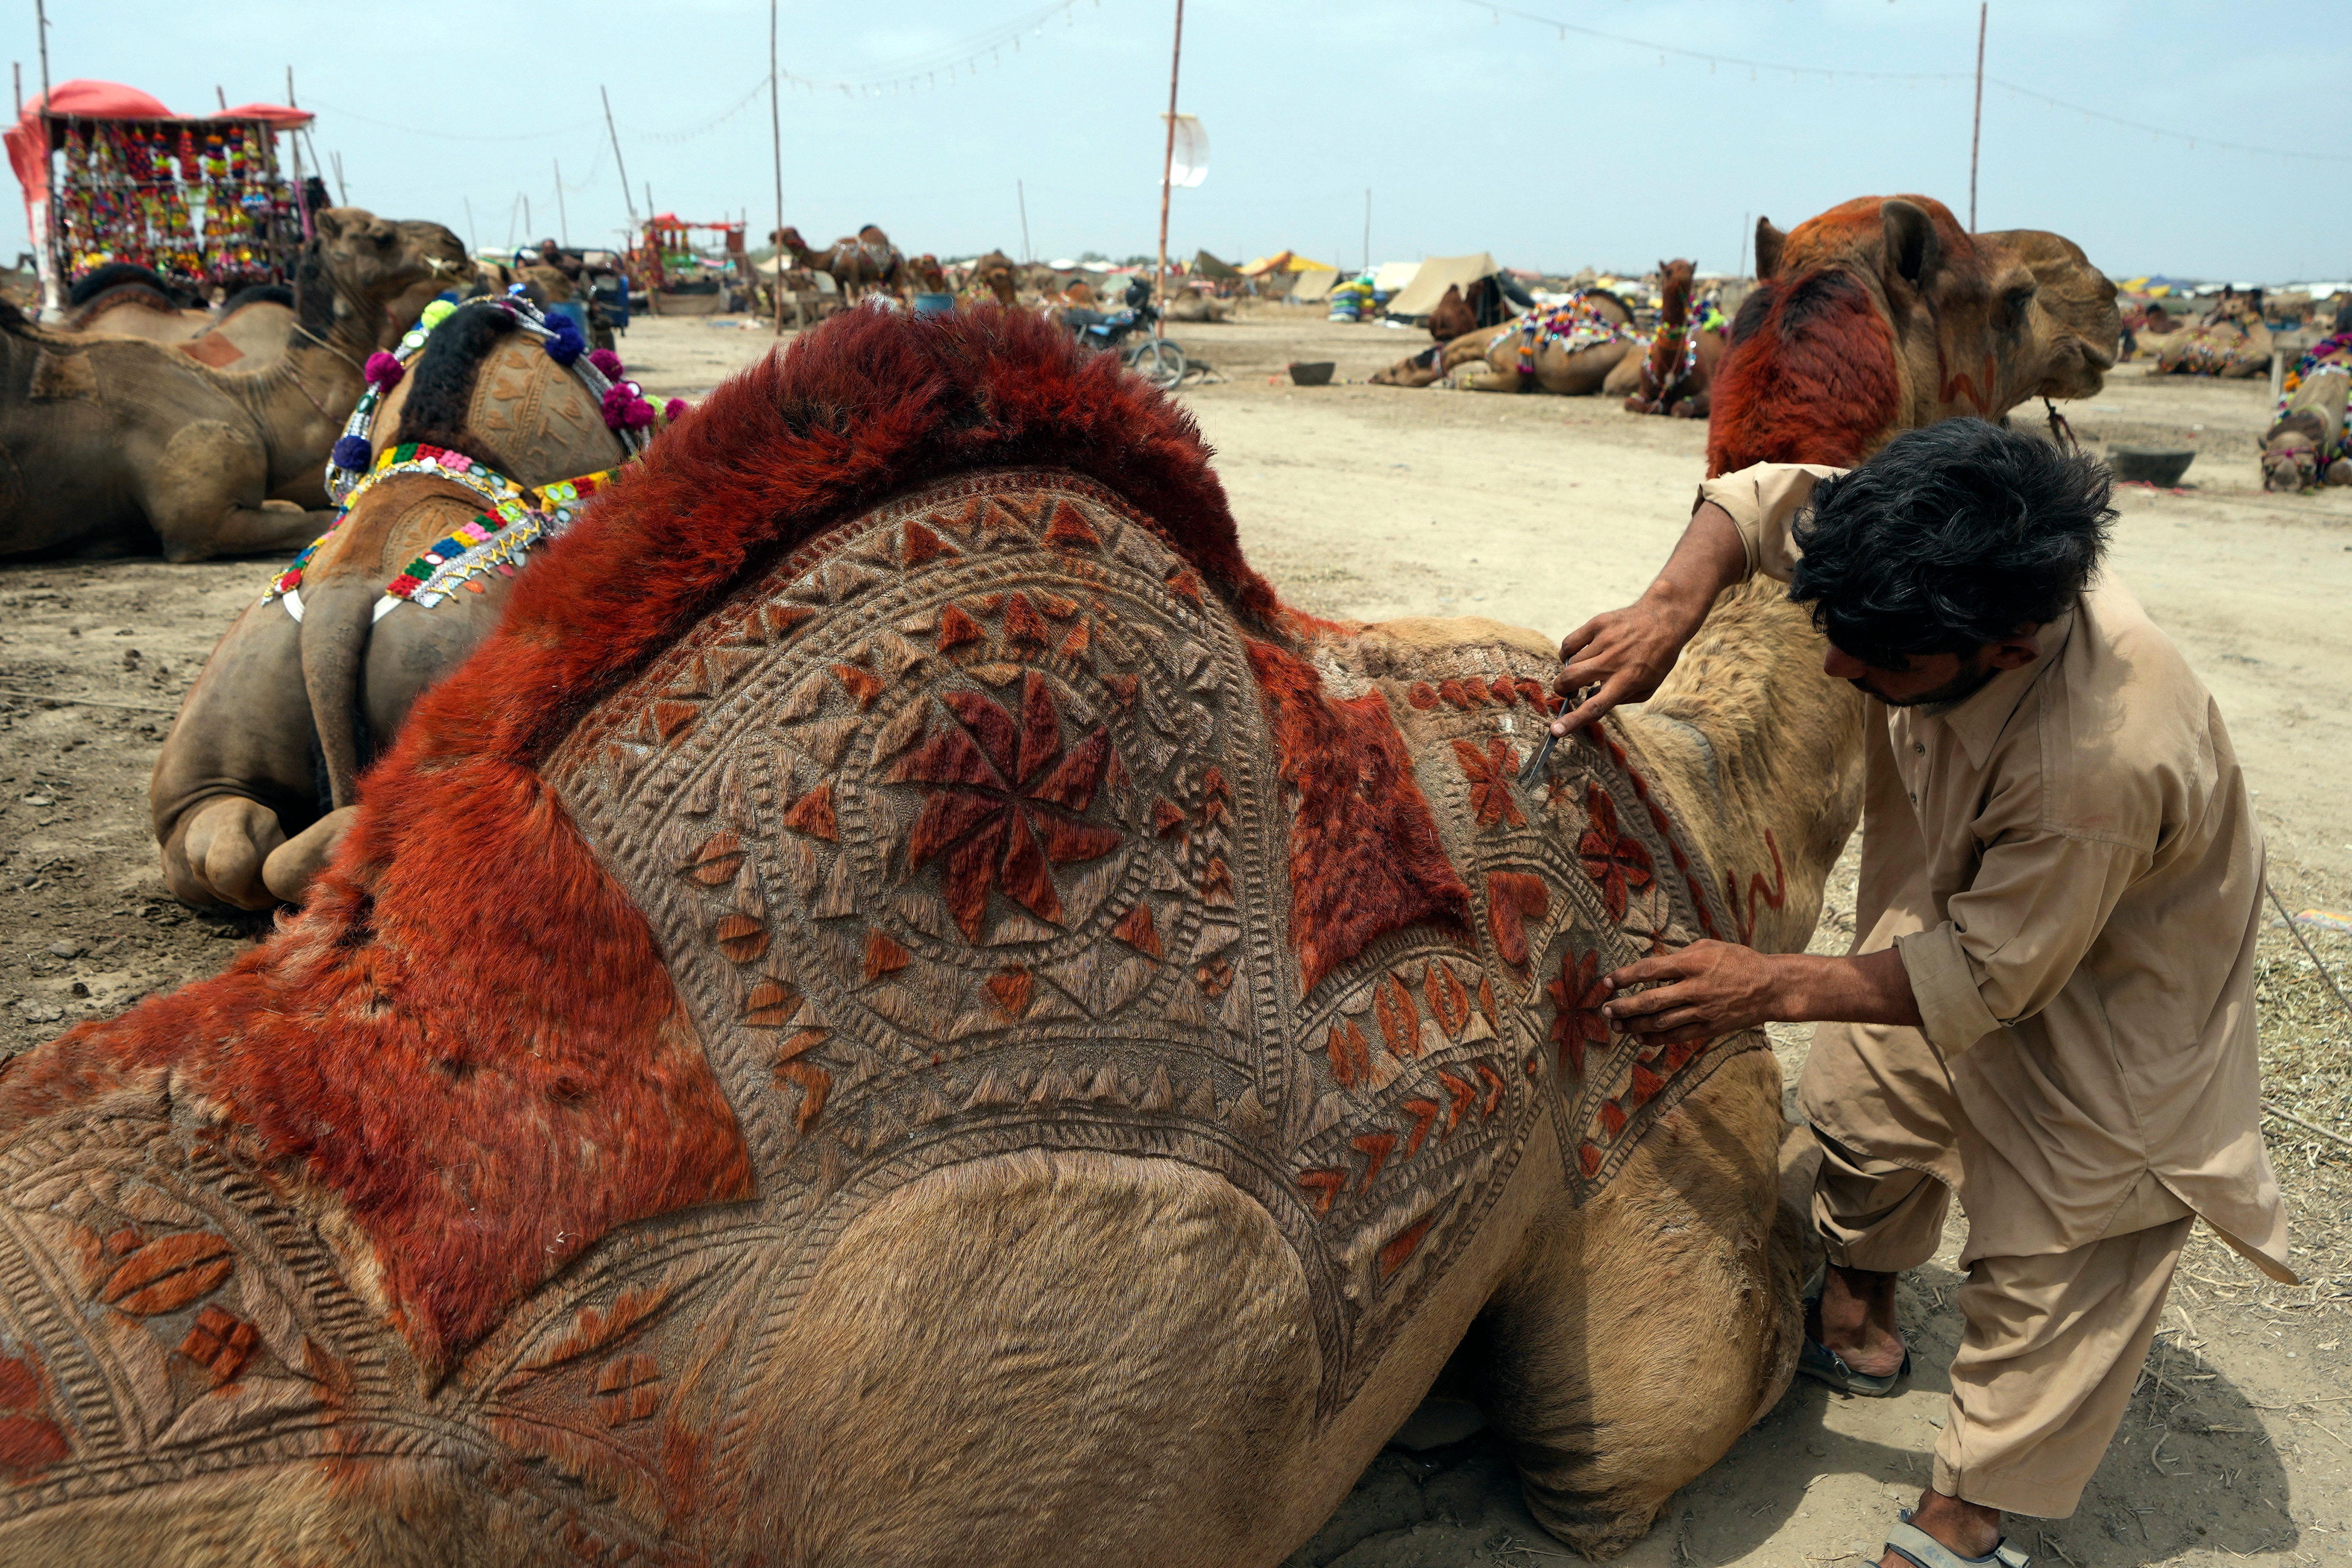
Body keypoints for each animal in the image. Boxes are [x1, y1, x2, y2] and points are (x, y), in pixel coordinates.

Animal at [1620, 258, 1728, 418]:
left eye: (1692, 271)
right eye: (1669, 271)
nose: (1684, 277)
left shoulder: (1706, 389)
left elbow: (1680, 408)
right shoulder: (1644, 389)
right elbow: (1632, 403)